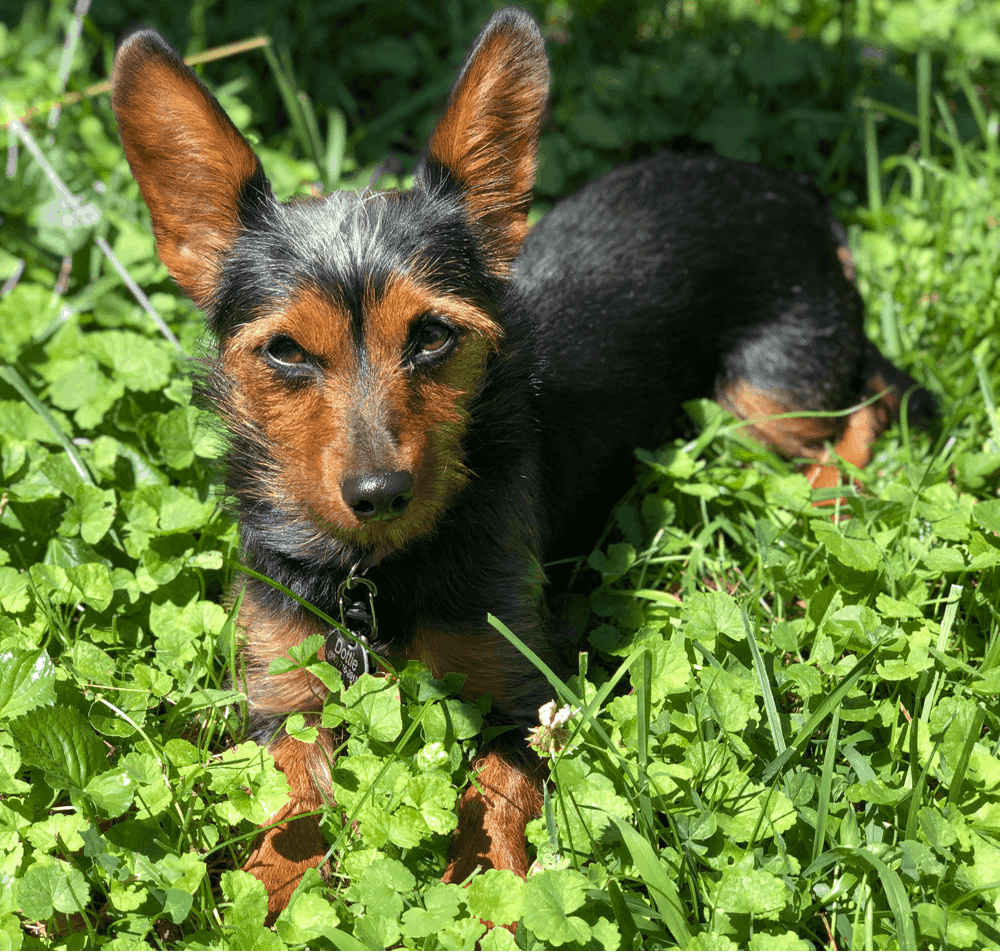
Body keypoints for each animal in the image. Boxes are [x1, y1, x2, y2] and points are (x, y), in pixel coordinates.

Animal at [111, 5, 936, 924]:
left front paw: (485, 902)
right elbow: (287, 809)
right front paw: (265, 897)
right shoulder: (282, 705)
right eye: (285, 351)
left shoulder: (524, 698)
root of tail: (794, 193)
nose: (379, 493)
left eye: (434, 335)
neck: (372, 576)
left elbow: (493, 798)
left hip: (766, 395)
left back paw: (826, 505)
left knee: (859, 410)